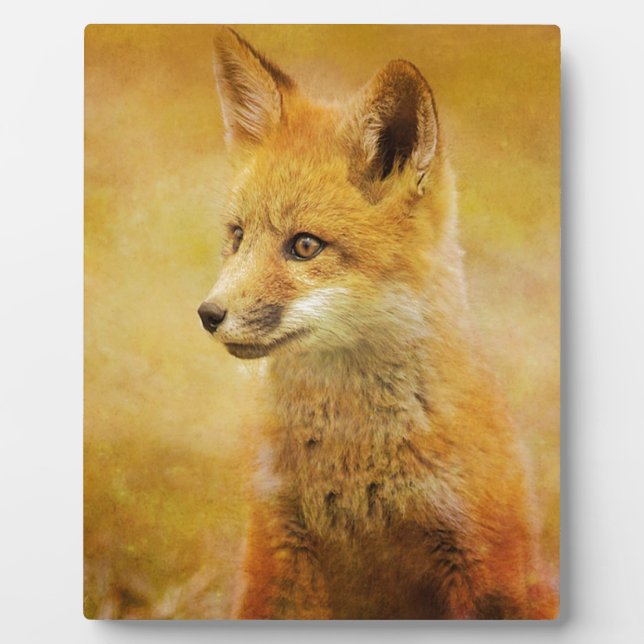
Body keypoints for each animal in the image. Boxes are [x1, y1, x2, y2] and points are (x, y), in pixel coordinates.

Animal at [198, 27, 558, 620]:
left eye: (304, 246)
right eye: (237, 236)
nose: (208, 314)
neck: (353, 465)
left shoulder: (482, 560)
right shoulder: (275, 549)